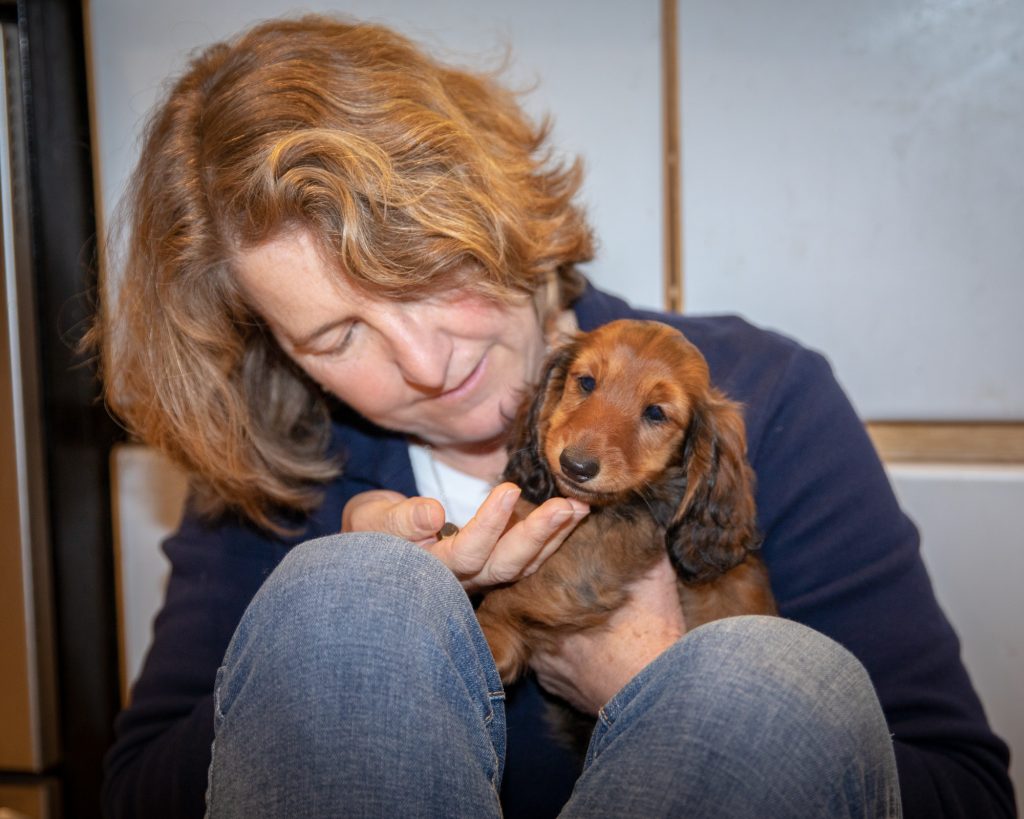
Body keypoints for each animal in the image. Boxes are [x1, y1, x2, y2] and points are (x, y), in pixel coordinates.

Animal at [477, 317, 774, 683]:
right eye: (587, 382)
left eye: (656, 413)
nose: (575, 466)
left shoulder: (597, 557)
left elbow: (523, 588)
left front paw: (487, 634)